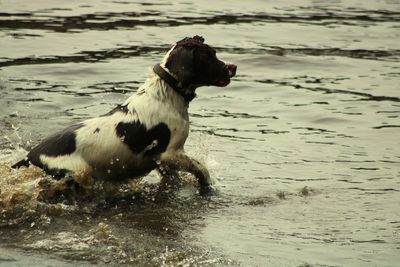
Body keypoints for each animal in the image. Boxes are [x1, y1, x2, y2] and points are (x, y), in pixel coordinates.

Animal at [11, 36, 238, 195]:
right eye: (209, 56)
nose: (233, 67)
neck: (167, 93)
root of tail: (29, 157)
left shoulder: (164, 163)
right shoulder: (169, 153)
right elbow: (200, 168)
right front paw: (207, 186)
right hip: (77, 173)